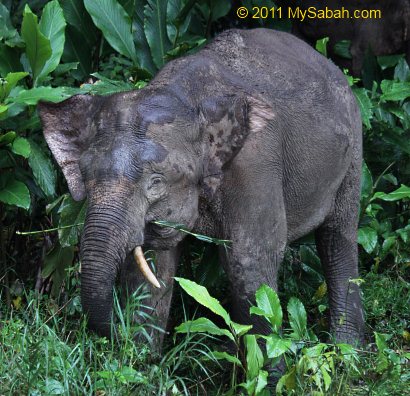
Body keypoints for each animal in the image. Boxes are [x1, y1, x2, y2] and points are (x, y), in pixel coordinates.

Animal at [39, 28, 366, 346]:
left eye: (156, 183)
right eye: (85, 176)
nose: (116, 333)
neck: (187, 99)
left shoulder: (255, 165)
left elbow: (250, 259)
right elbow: (154, 264)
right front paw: (141, 359)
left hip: (354, 149)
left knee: (338, 235)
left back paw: (347, 350)